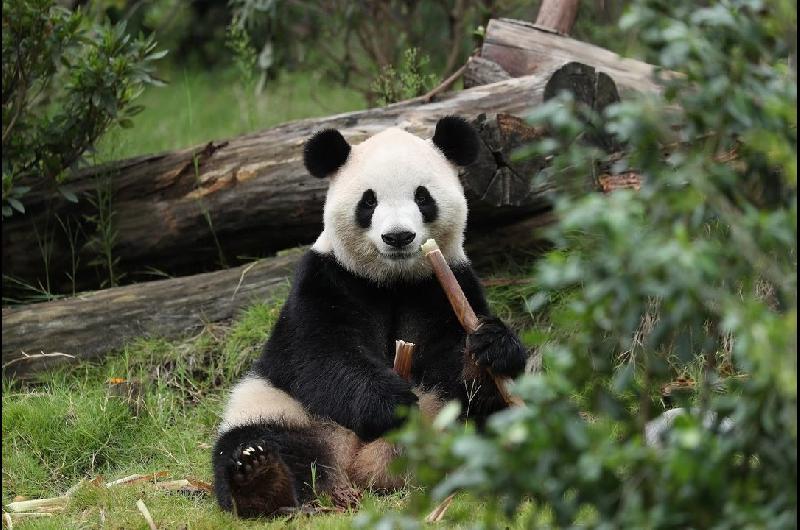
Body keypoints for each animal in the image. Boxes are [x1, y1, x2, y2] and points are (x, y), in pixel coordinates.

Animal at [212, 116, 528, 517]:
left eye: (422, 197)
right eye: (369, 201)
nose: (398, 237)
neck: (393, 280)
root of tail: (359, 468)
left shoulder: (445, 284)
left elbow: (453, 359)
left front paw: (489, 347)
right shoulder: (326, 279)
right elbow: (319, 354)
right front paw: (390, 403)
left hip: (445, 418)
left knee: (490, 418)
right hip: (281, 406)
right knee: (259, 439)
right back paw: (261, 479)